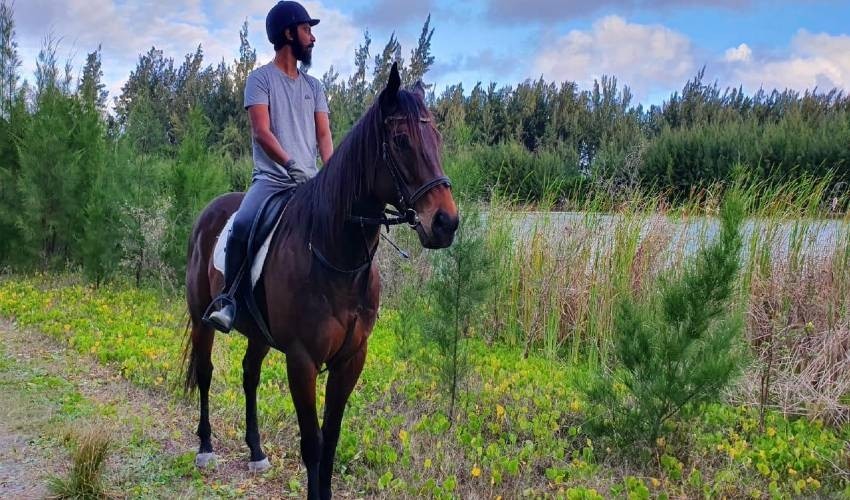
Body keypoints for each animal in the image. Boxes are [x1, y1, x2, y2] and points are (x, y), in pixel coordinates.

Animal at [181, 63, 454, 500]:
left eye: (437, 139)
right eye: (401, 140)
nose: (446, 223)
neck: (336, 259)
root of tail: (209, 212)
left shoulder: (351, 358)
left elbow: (332, 438)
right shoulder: (301, 359)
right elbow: (312, 442)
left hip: (258, 333)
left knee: (249, 375)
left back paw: (256, 452)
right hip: (200, 317)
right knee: (205, 372)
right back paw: (206, 448)